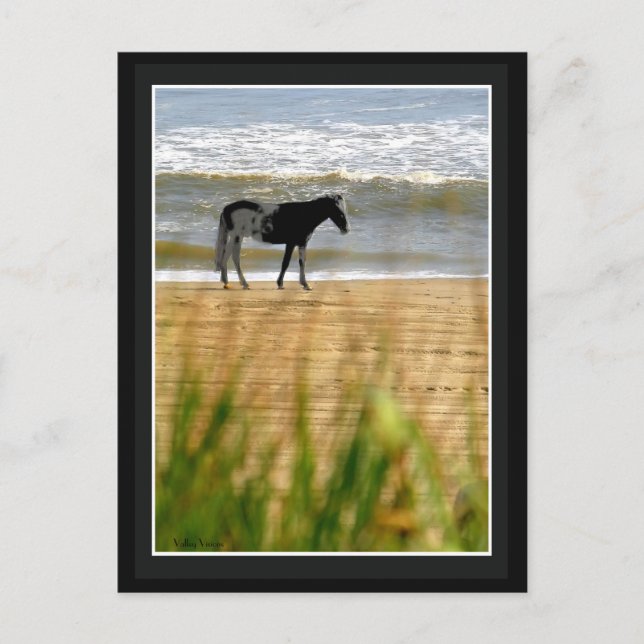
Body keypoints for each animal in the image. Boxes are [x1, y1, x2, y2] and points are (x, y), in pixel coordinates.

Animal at [214, 194, 350, 290]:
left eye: (345, 209)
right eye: (336, 209)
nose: (346, 229)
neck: (305, 214)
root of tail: (227, 208)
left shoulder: (302, 243)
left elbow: (302, 262)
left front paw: (305, 284)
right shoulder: (291, 243)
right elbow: (286, 263)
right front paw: (281, 283)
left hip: (236, 237)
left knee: (226, 257)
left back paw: (226, 282)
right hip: (237, 237)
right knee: (235, 258)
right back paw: (244, 283)